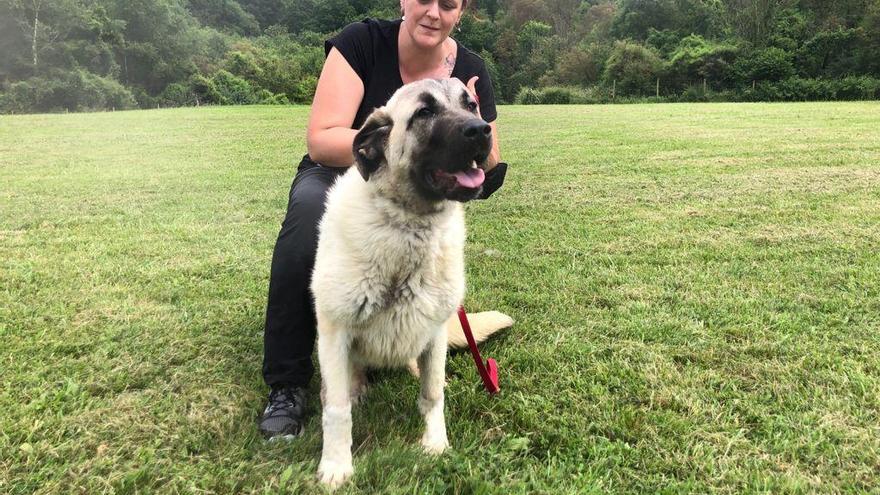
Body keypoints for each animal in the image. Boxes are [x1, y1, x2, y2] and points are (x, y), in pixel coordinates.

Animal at [312, 78, 512, 488]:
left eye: (471, 105)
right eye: (424, 112)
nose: (481, 130)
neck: (410, 224)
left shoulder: (433, 332)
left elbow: (432, 395)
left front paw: (435, 443)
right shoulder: (335, 333)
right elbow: (336, 409)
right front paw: (337, 464)